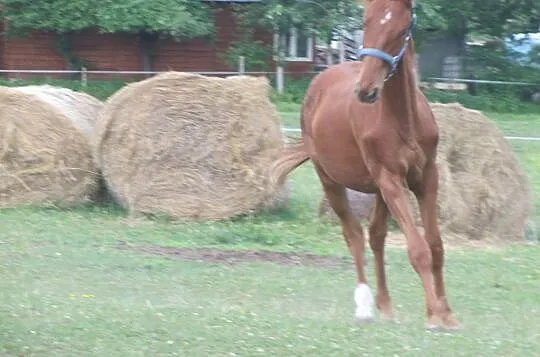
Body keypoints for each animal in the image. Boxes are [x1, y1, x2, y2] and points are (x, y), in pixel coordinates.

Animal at [270, 0, 460, 330]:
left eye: (401, 28)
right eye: (366, 22)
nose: (366, 91)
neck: (403, 119)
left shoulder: (426, 179)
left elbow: (435, 246)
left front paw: (445, 313)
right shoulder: (390, 179)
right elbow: (418, 249)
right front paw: (434, 314)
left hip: (378, 190)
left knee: (376, 236)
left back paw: (385, 305)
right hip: (332, 180)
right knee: (354, 235)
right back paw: (365, 305)